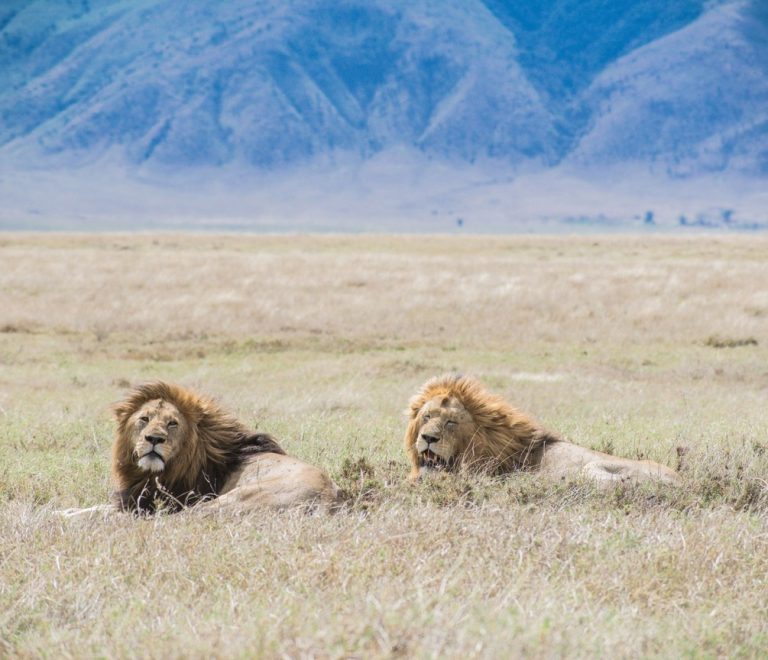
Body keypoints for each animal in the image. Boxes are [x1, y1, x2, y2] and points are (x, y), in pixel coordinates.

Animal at [63, 381, 341, 517]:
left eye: (172, 423)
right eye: (144, 419)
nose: (154, 438)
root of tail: (328, 500)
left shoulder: (159, 502)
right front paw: (62, 512)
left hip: (227, 500)